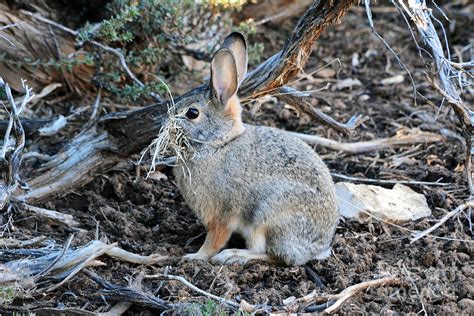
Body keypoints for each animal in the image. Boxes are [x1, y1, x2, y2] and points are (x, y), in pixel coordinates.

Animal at [172, 32, 338, 266]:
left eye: (192, 113)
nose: (166, 122)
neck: (219, 144)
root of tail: (316, 250)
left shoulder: (221, 214)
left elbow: (214, 240)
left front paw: (195, 257)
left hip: (266, 215)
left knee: (269, 253)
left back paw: (233, 256)